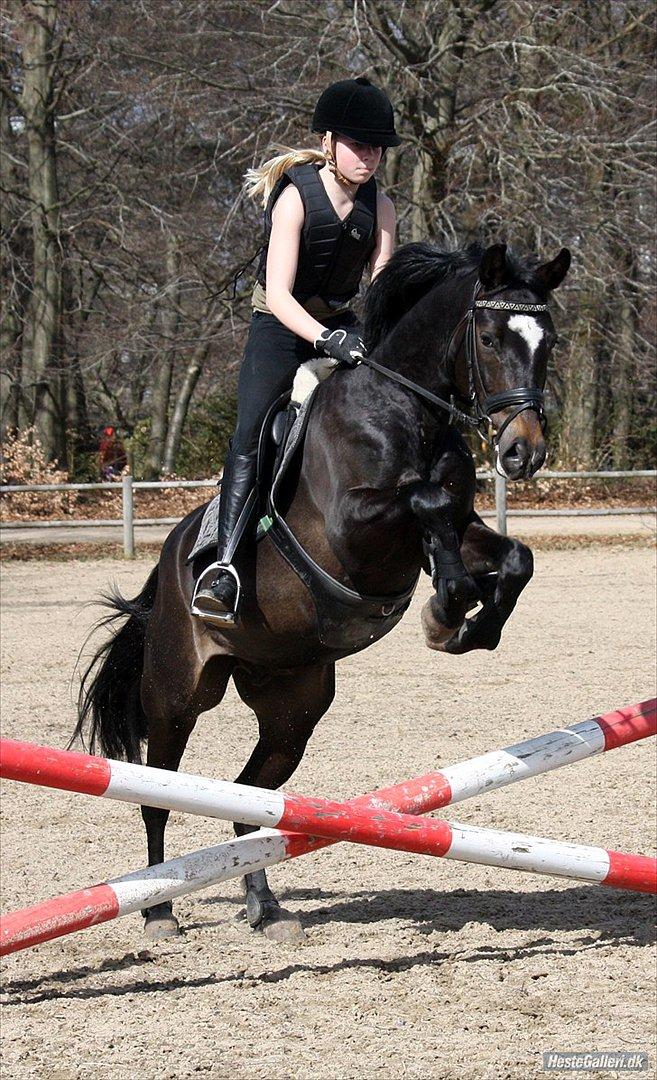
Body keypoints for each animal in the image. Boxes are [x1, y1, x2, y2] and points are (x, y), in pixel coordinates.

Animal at [75, 240, 570, 943]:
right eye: (490, 336)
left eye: (547, 340)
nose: (524, 453)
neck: (407, 409)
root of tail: (168, 565)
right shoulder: (353, 527)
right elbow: (425, 500)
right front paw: (448, 604)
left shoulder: (460, 525)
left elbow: (509, 553)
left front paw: (465, 622)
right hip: (177, 693)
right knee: (156, 792)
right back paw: (159, 911)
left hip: (292, 704)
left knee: (252, 801)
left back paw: (266, 907)